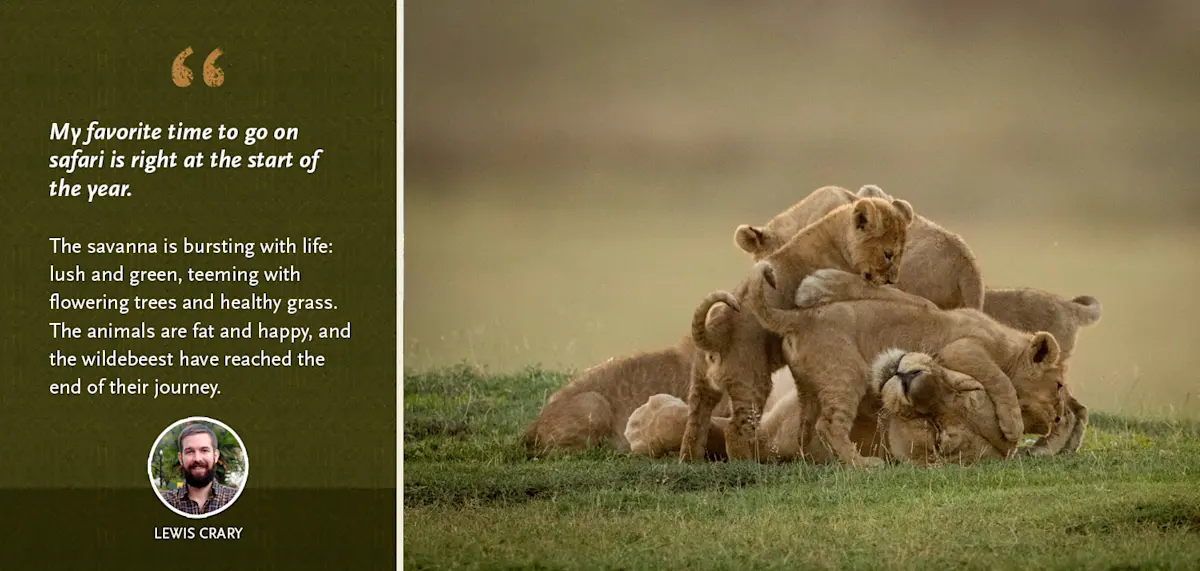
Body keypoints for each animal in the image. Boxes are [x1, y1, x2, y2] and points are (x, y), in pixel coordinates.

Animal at [679, 196, 915, 463]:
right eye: (888, 254)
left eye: (900, 254)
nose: (892, 280)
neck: (836, 237)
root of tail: (715, 335)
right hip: (752, 383)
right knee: (735, 429)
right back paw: (747, 463)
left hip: (700, 386)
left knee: (695, 424)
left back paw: (689, 460)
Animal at [745, 266, 1067, 467]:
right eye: (1059, 386)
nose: (1057, 419)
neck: (1007, 345)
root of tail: (799, 319)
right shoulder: (961, 349)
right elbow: (1000, 380)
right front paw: (1013, 425)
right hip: (846, 374)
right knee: (829, 424)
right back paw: (862, 465)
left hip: (808, 387)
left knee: (806, 425)